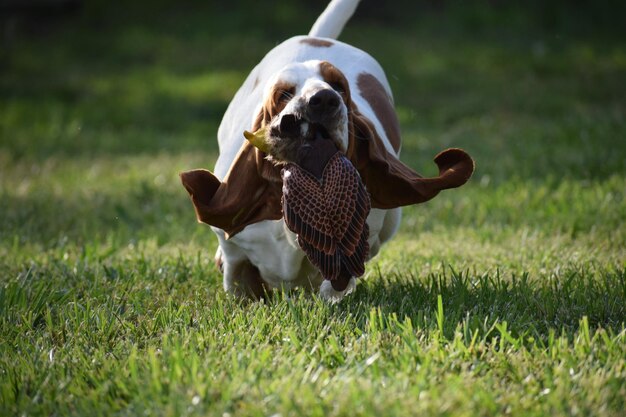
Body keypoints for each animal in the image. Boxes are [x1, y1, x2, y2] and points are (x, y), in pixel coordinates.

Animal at [178, 0, 470, 300]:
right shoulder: (233, 243)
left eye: (339, 87)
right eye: (283, 94)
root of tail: (320, 38)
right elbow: (236, 271)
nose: (324, 99)